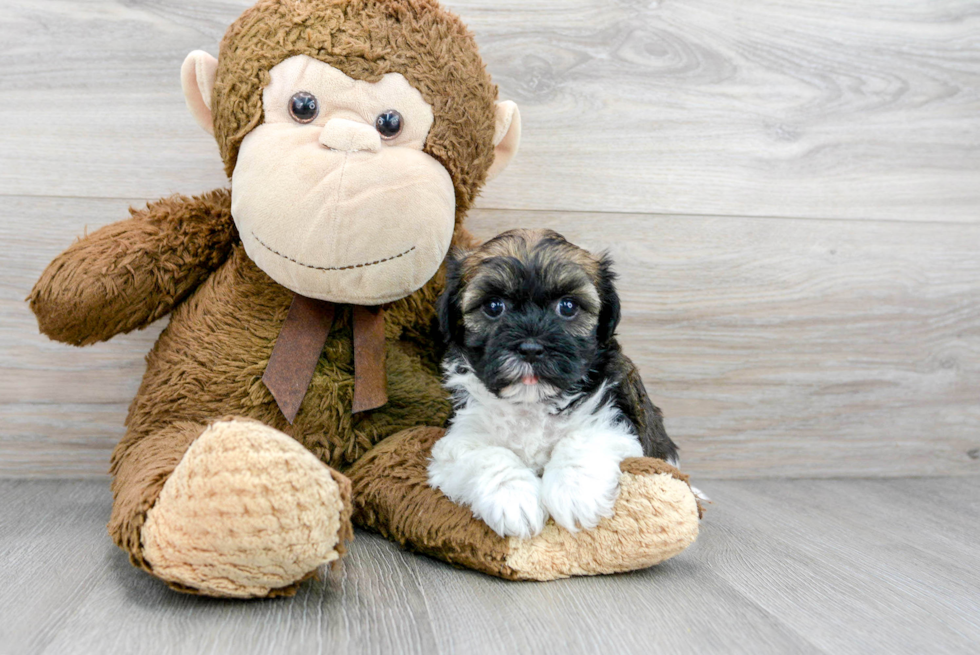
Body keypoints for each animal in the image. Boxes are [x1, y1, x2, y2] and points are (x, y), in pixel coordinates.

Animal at [428, 229, 680, 540]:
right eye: (494, 306)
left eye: (568, 306)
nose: (531, 348)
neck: (531, 402)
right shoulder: (460, 435)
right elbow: (486, 454)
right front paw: (514, 498)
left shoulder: (615, 420)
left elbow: (581, 439)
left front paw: (574, 493)